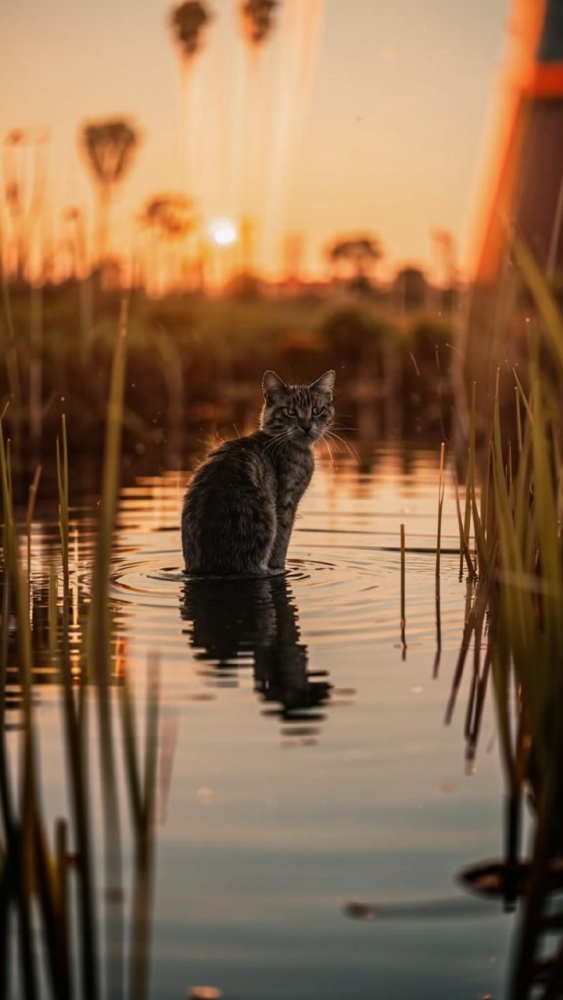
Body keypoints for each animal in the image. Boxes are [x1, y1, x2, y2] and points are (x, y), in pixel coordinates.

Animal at [183, 370, 338, 576]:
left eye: (316, 410)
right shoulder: (287, 503)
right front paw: (280, 566)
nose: (306, 426)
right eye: (291, 412)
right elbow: (281, 542)